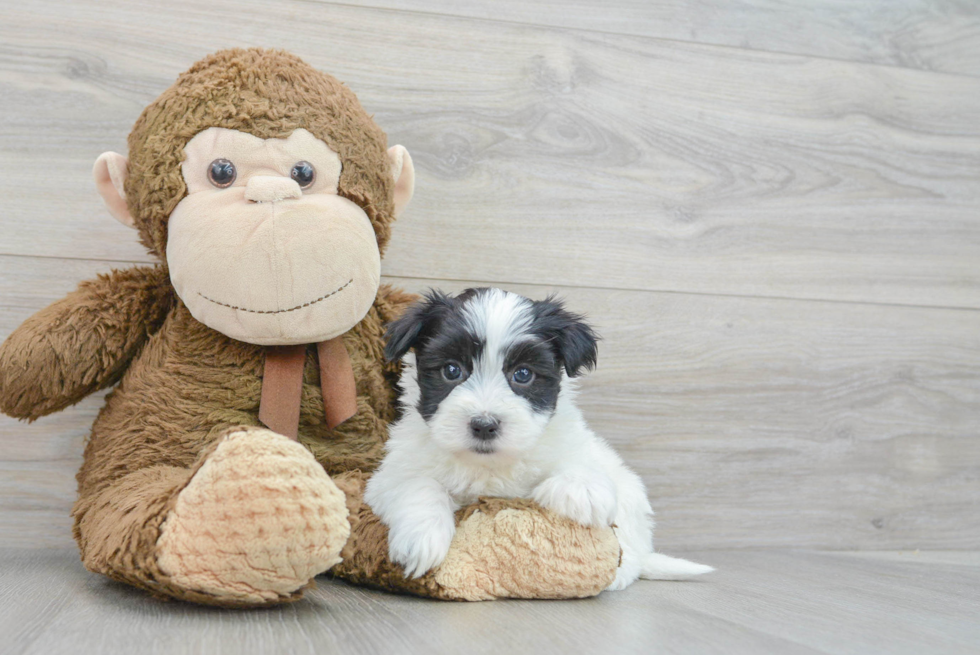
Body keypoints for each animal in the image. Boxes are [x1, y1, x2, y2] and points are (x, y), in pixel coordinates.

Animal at [364, 288, 708, 588]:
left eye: (523, 374)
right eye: (451, 370)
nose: (484, 425)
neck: (488, 465)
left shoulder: (573, 445)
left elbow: (582, 463)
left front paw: (580, 489)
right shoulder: (390, 476)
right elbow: (418, 485)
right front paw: (422, 537)